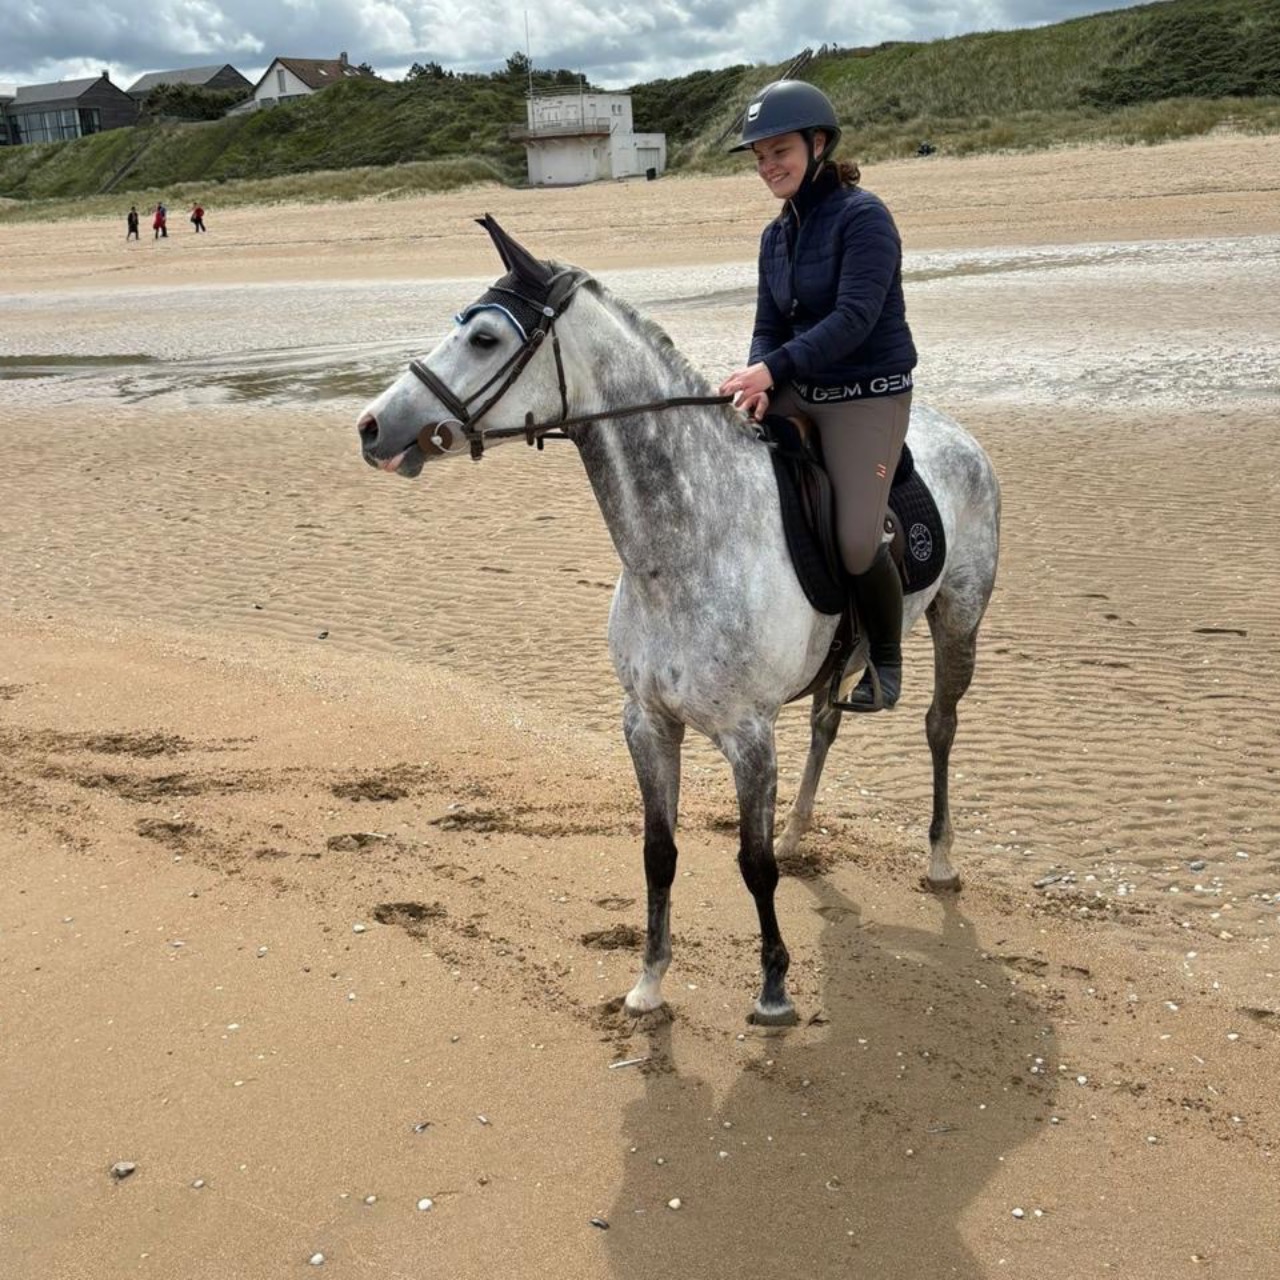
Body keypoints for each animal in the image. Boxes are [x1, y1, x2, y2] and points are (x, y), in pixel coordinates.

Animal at [358, 215, 998, 1024]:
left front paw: (773, 989)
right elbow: (658, 852)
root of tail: (960, 436)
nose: (372, 427)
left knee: (940, 726)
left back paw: (939, 858)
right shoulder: (647, 721)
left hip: (958, 617)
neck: (684, 545)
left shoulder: (748, 737)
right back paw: (799, 831)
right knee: (827, 720)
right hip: (843, 657)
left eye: (483, 339)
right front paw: (650, 982)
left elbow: (752, 865)